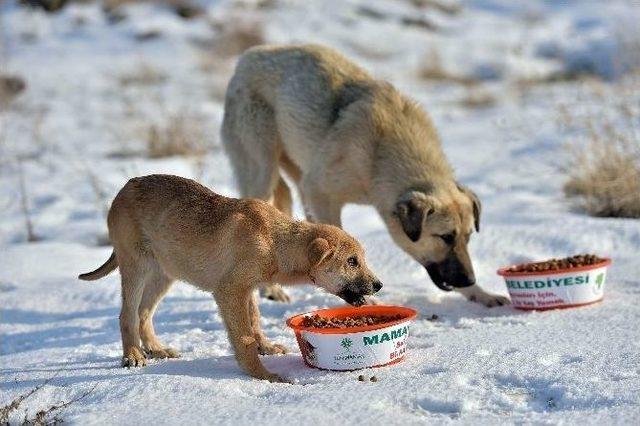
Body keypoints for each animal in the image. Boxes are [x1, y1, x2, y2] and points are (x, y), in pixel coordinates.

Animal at [220, 45, 510, 308]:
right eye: (445, 237)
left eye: (468, 236)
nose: (469, 279)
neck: (380, 155)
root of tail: (247, 57)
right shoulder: (320, 191)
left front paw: (481, 294)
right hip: (262, 171)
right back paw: (270, 289)